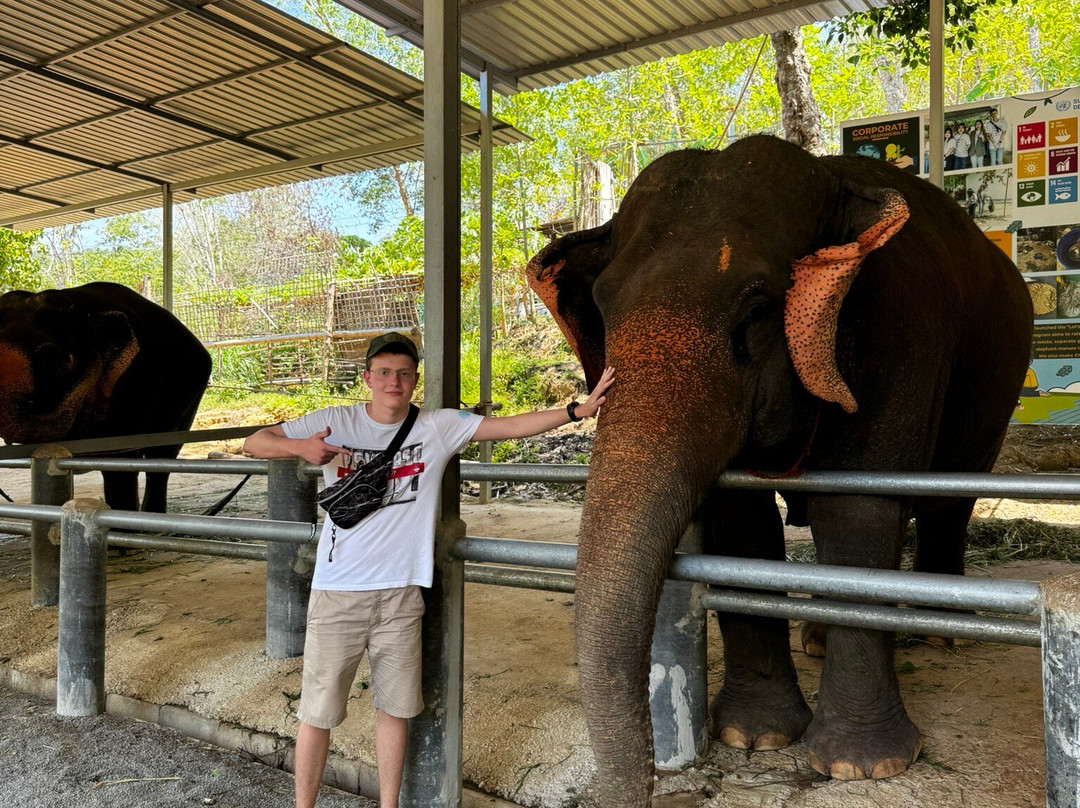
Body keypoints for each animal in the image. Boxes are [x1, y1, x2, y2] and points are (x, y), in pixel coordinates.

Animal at [526, 135, 1033, 808]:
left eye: (759, 311)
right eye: (603, 311)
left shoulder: (900, 324)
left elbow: (859, 511)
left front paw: (863, 766)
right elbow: (740, 520)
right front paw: (753, 737)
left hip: (997, 396)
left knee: (949, 503)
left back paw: (947, 633)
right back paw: (819, 638)